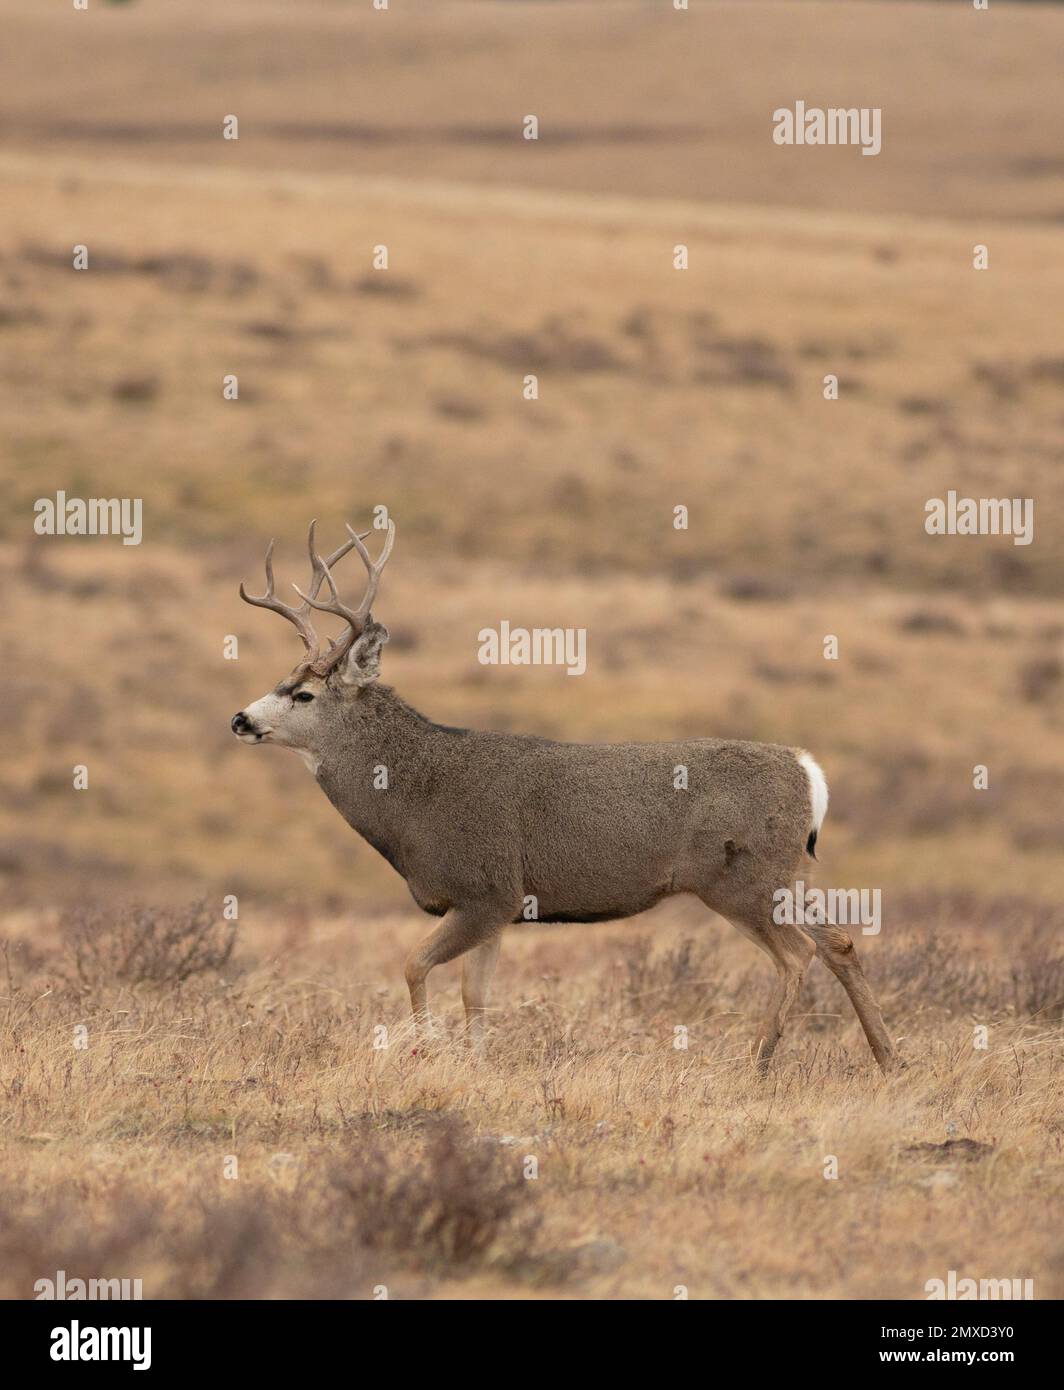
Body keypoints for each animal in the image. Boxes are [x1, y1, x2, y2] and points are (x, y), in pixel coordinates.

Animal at [232, 519, 896, 1072]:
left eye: (303, 695)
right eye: (280, 680)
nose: (240, 719)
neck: (414, 799)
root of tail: (808, 770)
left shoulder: (485, 889)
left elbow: (414, 965)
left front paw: (425, 1051)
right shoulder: (495, 906)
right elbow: (476, 993)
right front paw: (477, 1068)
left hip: (742, 878)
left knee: (796, 954)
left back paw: (759, 1061)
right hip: (786, 874)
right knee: (838, 942)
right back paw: (889, 1057)